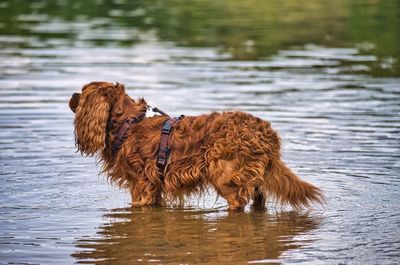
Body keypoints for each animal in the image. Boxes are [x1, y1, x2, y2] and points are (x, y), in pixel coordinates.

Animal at [69, 81, 324, 209]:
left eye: (81, 93)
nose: (70, 97)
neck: (128, 123)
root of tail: (267, 133)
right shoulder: (155, 187)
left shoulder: (141, 184)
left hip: (225, 176)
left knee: (238, 202)